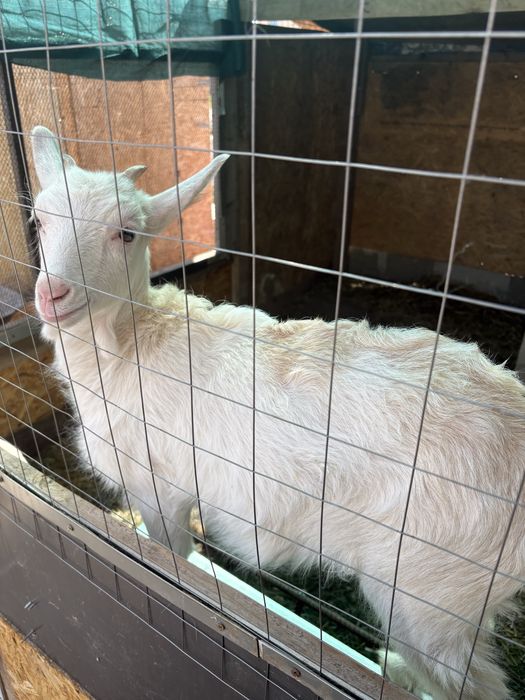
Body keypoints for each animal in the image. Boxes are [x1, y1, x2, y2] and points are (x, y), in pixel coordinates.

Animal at [31, 125, 524, 700]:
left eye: (126, 234)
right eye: (39, 220)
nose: (52, 294)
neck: (129, 347)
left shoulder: (160, 488)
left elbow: (174, 559)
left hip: (431, 589)